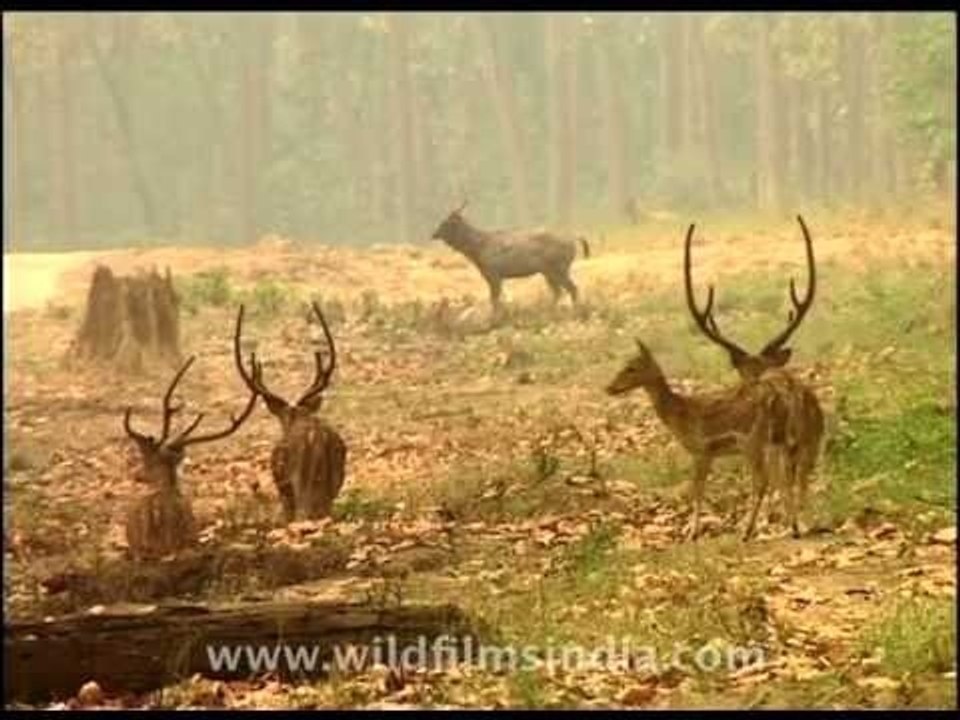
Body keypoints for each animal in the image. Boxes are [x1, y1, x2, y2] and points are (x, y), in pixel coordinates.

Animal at [233, 301, 347, 522]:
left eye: (282, 420)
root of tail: (316, 441)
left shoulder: (283, 487)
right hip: (334, 481)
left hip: (299, 482)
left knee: (302, 513)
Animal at [431, 200, 590, 314]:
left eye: (445, 223)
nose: (434, 234)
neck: (478, 250)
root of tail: (573, 239)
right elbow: (496, 299)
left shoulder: (493, 273)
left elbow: (494, 299)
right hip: (549, 271)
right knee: (559, 292)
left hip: (559, 268)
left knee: (571, 288)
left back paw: (574, 311)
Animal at [683, 216, 825, 537]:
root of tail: (792, 397)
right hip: (809, 441)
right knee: (800, 483)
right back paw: (804, 523)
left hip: (764, 441)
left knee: (773, 481)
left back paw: (765, 527)